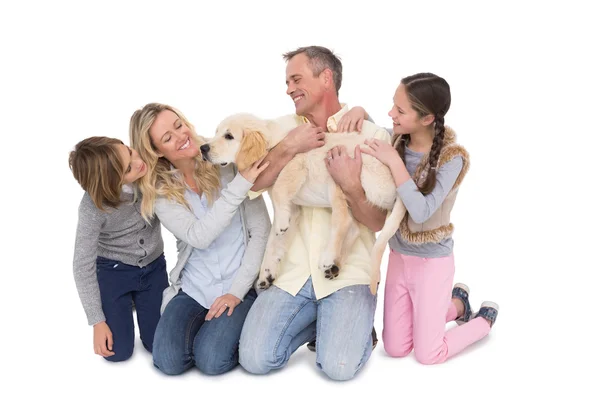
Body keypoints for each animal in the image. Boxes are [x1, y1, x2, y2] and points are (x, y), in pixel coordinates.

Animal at [203, 112, 408, 294]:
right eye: (216, 132)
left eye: (229, 136)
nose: (203, 148)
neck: (273, 145)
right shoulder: (293, 208)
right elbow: (273, 242)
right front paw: (266, 274)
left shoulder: (296, 165)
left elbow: (280, 190)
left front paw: (281, 224)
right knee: (354, 229)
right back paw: (334, 265)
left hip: (338, 172)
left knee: (342, 221)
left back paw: (328, 258)